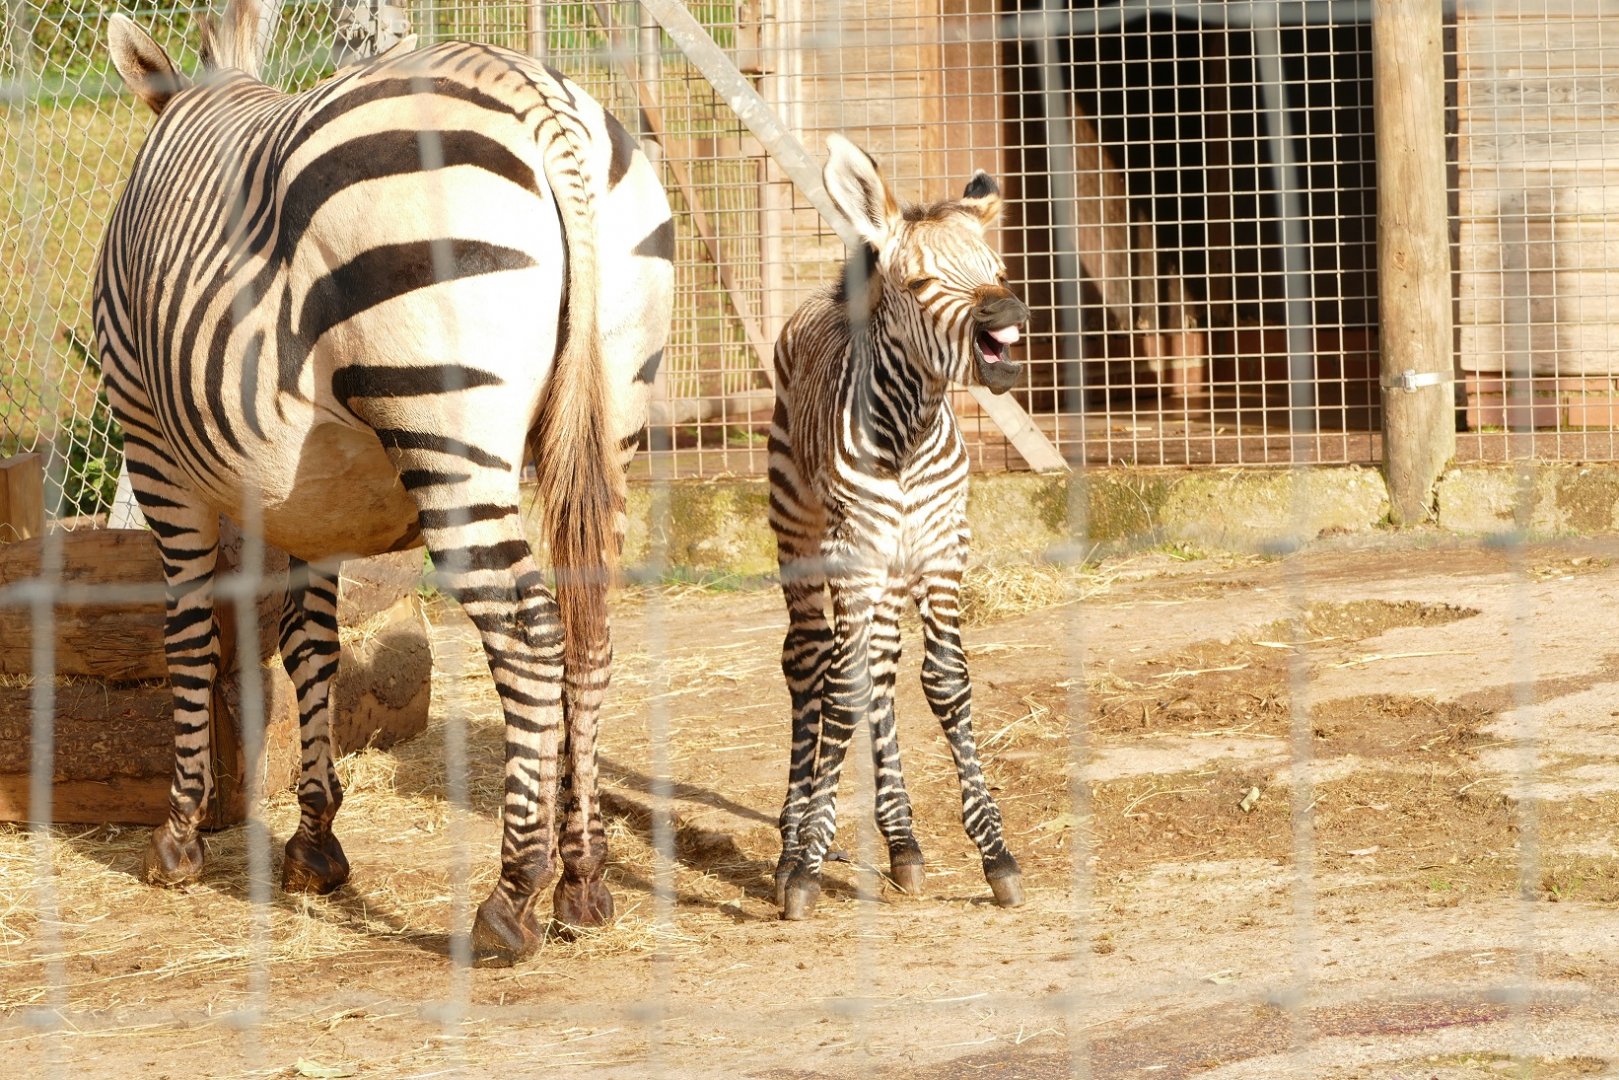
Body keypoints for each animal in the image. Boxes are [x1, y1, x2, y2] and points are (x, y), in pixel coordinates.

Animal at [96, 0, 673, 965]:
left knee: (528, 630)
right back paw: (583, 880)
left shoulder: (154, 445)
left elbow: (188, 637)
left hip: (444, 419)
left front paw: (178, 838)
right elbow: (309, 647)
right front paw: (314, 843)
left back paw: (512, 898)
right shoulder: (306, 494)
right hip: (614, 407)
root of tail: (536, 97)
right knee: (587, 628)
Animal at [768, 136, 1029, 920]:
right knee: (810, 664)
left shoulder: (943, 549)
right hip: (801, 535)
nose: (1008, 310)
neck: (907, 434)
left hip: (888, 565)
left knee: (879, 666)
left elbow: (943, 681)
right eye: (918, 284)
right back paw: (791, 841)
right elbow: (840, 691)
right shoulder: (852, 556)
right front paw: (805, 868)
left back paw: (902, 843)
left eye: (997, 271)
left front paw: (995, 855)